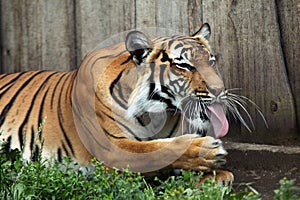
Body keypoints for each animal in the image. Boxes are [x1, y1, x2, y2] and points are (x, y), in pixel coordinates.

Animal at [0, 23, 233, 183]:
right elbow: (155, 151)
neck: (159, 115)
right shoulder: (113, 150)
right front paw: (206, 151)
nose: (219, 90)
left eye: (211, 61)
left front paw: (218, 176)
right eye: (184, 65)